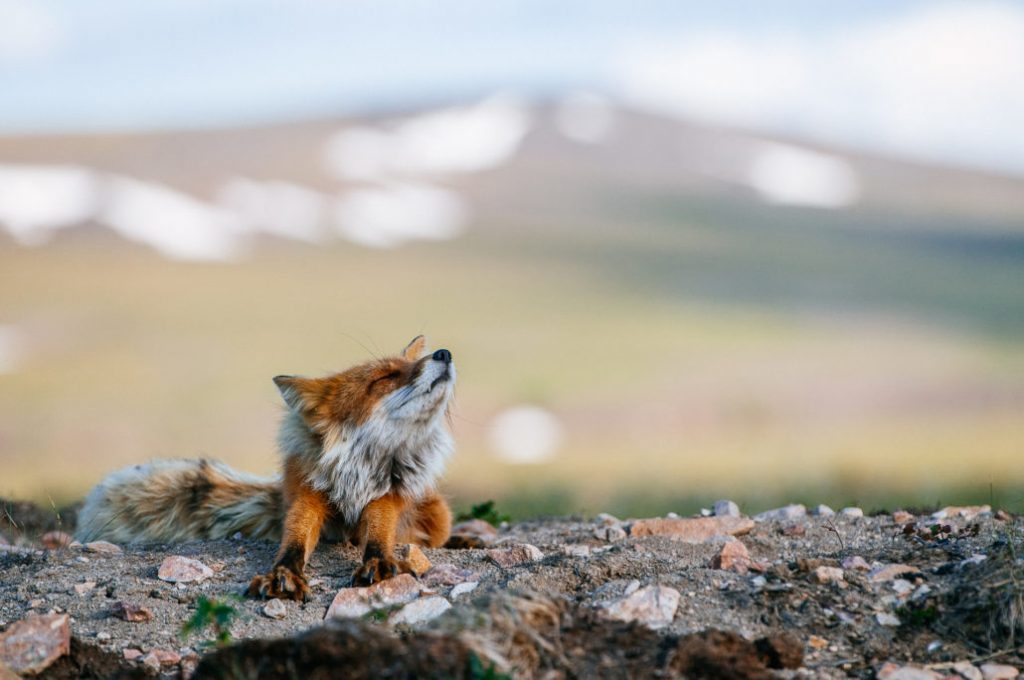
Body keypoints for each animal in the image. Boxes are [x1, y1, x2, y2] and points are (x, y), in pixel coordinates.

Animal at [79, 335, 460, 602]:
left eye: (408, 365)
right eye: (386, 377)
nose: (444, 353)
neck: (360, 467)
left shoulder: (386, 496)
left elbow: (380, 534)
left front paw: (378, 561)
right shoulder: (308, 493)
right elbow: (294, 539)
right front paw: (283, 574)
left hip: (437, 515)